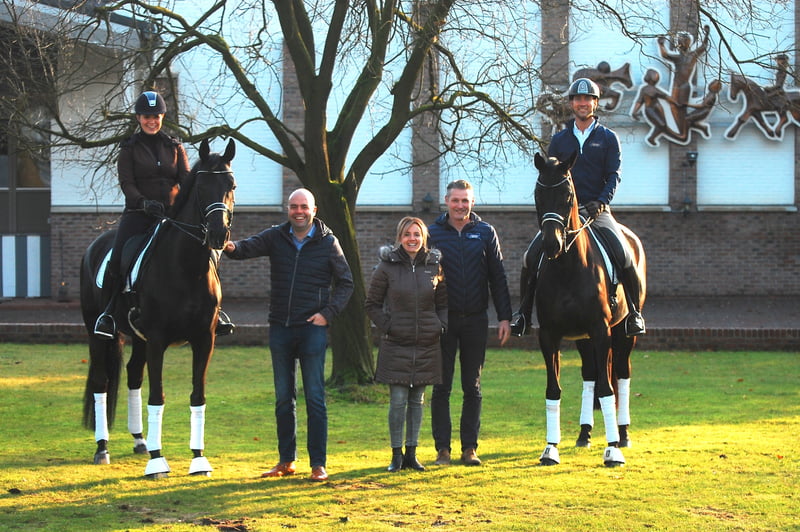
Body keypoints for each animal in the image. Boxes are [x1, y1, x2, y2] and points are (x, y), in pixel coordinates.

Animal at [80, 138, 236, 478]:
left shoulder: (204, 340)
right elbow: (157, 396)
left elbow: (197, 395)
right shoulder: (158, 340)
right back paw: (102, 448)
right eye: (201, 187)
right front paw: (157, 461)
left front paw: (198, 459)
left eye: (231, 185)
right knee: (101, 381)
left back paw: (140, 440)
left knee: (132, 375)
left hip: (138, 339)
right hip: (97, 333)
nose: (219, 234)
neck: (186, 268)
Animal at [532, 152, 644, 468]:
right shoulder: (549, 336)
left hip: (623, 334)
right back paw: (584, 434)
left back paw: (623, 434)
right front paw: (550, 448)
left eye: (568, 194)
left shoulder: (600, 330)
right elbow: (553, 389)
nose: (551, 244)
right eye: (538, 194)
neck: (567, 267)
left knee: (621, 374)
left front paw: (613, 450)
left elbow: (608, 389)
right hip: (583, 339)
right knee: (590, 375)